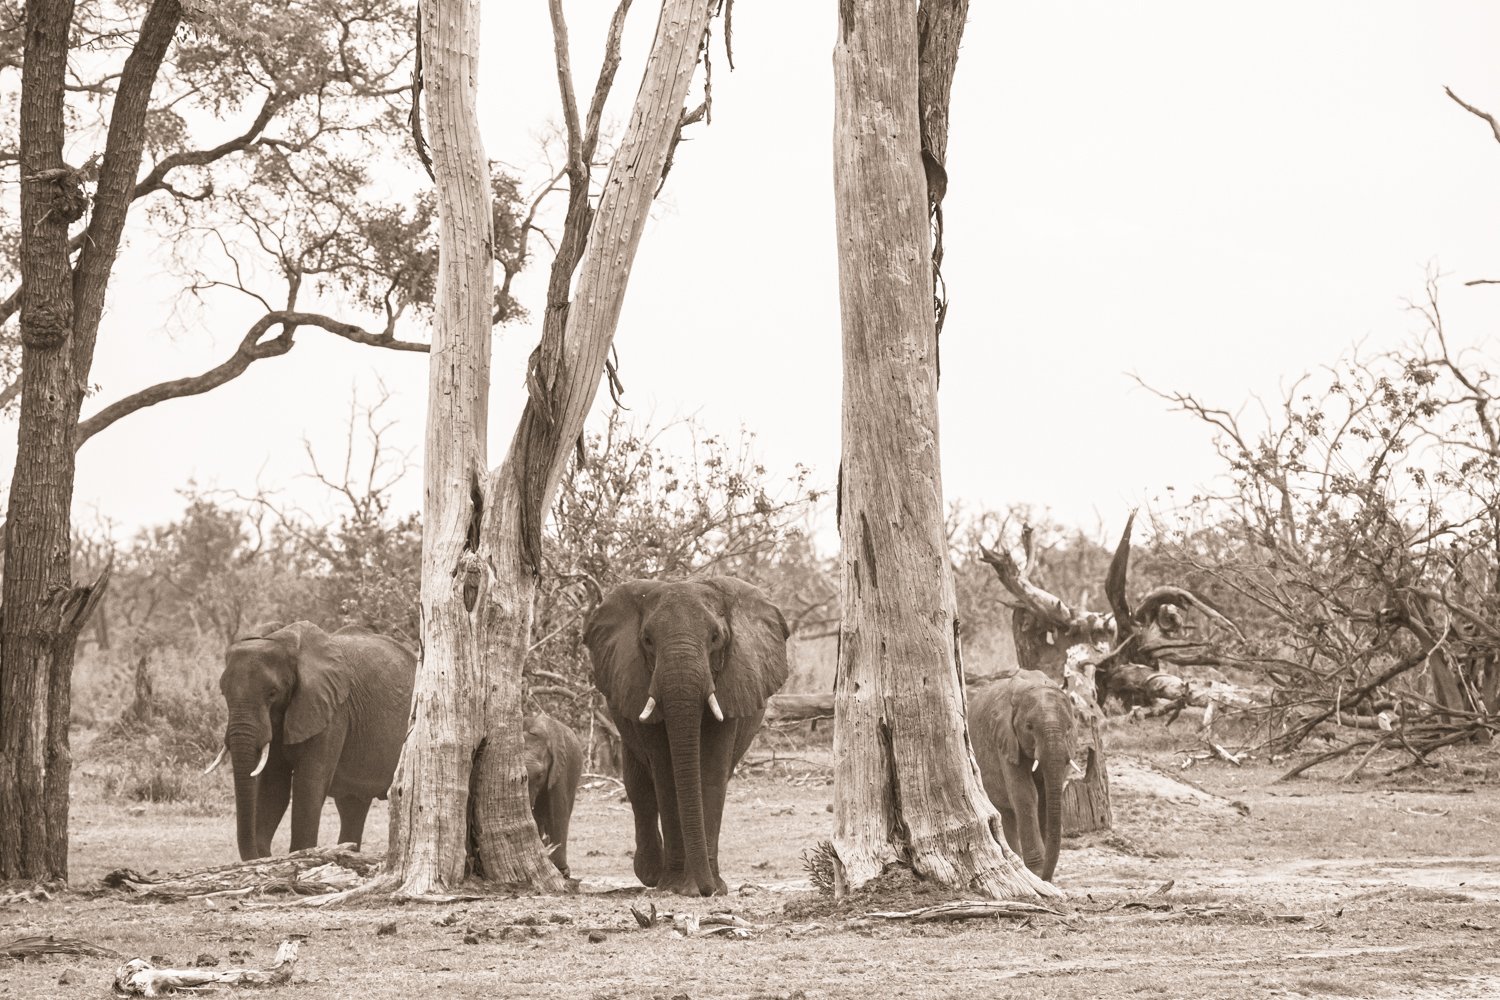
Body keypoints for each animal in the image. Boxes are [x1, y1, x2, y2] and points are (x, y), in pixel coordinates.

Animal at [205, 621, 416, 861]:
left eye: (272, 693)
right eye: (223, 693)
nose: (264, 855)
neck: (283, 642)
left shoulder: (333, 710)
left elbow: (309, 783)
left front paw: (301, 855)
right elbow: (274, 787)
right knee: (352, 805)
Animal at [585, 577, 789, 897]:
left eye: (716, 638)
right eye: (647, 640)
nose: (709, 891)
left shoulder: (731, 682)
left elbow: (713, 771)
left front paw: (705, 887)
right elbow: (666, 774)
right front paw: (675, 886)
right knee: (639, 788)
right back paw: (650, 875)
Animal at [969, 669, 1077, 882]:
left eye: (1069, 727)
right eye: (1029, 727)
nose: (1046, 878)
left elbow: (1046, 798)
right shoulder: (1004, 740)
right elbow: (1025, 795)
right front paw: (1036, 873)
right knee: (1003, 814)